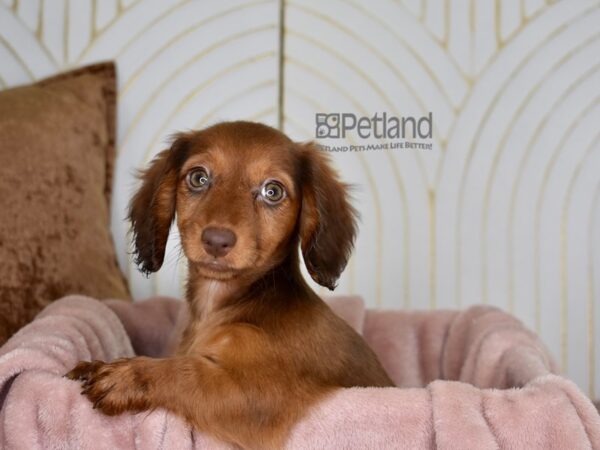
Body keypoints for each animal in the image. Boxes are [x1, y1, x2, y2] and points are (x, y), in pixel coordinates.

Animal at [68, 120, 394, 450]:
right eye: (198, 178)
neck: (226, 302)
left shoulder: (260, 397)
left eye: (272, 191)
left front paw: (130, 374)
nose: (216, 241)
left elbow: (189, 373)